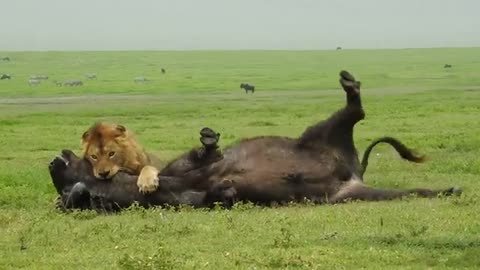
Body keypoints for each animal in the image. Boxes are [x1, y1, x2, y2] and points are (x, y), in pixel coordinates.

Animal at [49, 70, 462, 212]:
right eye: (91, 157)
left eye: (107, 153)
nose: (55, 158)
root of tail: (352, 170)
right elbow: (215, 193)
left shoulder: (182, 166)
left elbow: (201, 155)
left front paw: (208, 139)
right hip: (355, 194)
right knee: (412, 190)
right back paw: (449, 190)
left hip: (321, 133)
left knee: (355, 110)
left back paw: (348, 80)